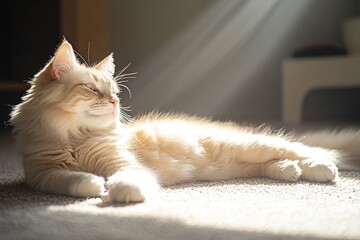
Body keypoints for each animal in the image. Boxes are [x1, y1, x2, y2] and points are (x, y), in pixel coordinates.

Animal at [9, 40, 360, 203]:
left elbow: (127, 178)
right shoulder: (41, 174)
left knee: (311, 150)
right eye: (93, 89)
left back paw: (322, 169)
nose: (114, 101)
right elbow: (71, 181)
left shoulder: (122, 162)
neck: (74, 138)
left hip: (256, 145)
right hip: (247, 160)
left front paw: (121, 191)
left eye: (115, 92)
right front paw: (93, 185)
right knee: (280, 162)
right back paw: (290, 172)